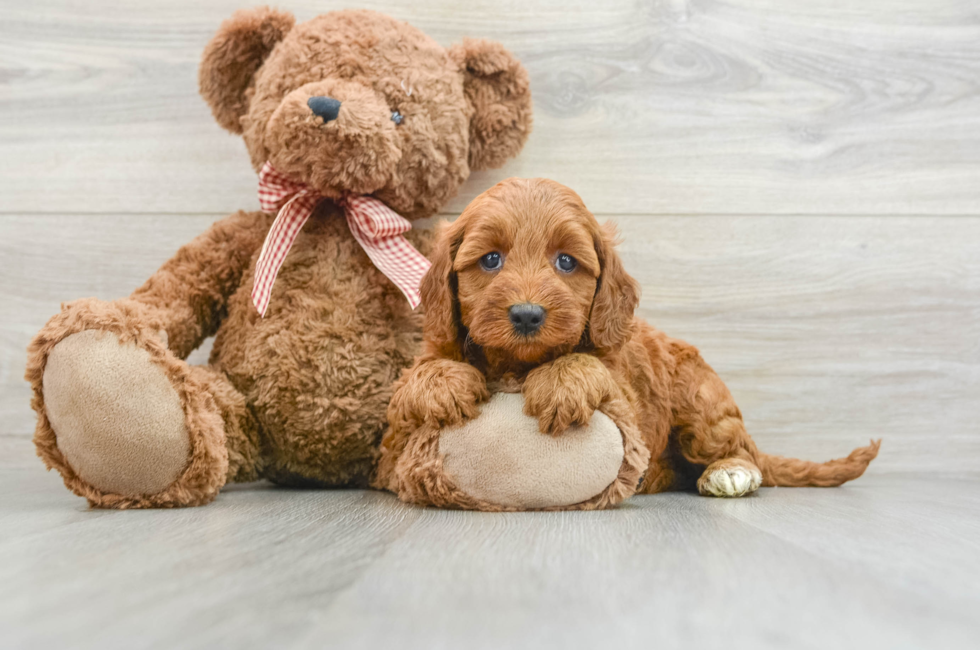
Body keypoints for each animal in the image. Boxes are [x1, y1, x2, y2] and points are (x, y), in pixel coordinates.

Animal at [382, 177, 880, 496]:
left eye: (566, 262)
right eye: (490, 260)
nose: (526, 314)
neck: (518, 363)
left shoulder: (626, 390)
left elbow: (591, 367)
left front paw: (562, 381)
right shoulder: (393, 441)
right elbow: (414, 380)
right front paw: (444, 382)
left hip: (700, 401)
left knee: (739, 449)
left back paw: (730, 474)